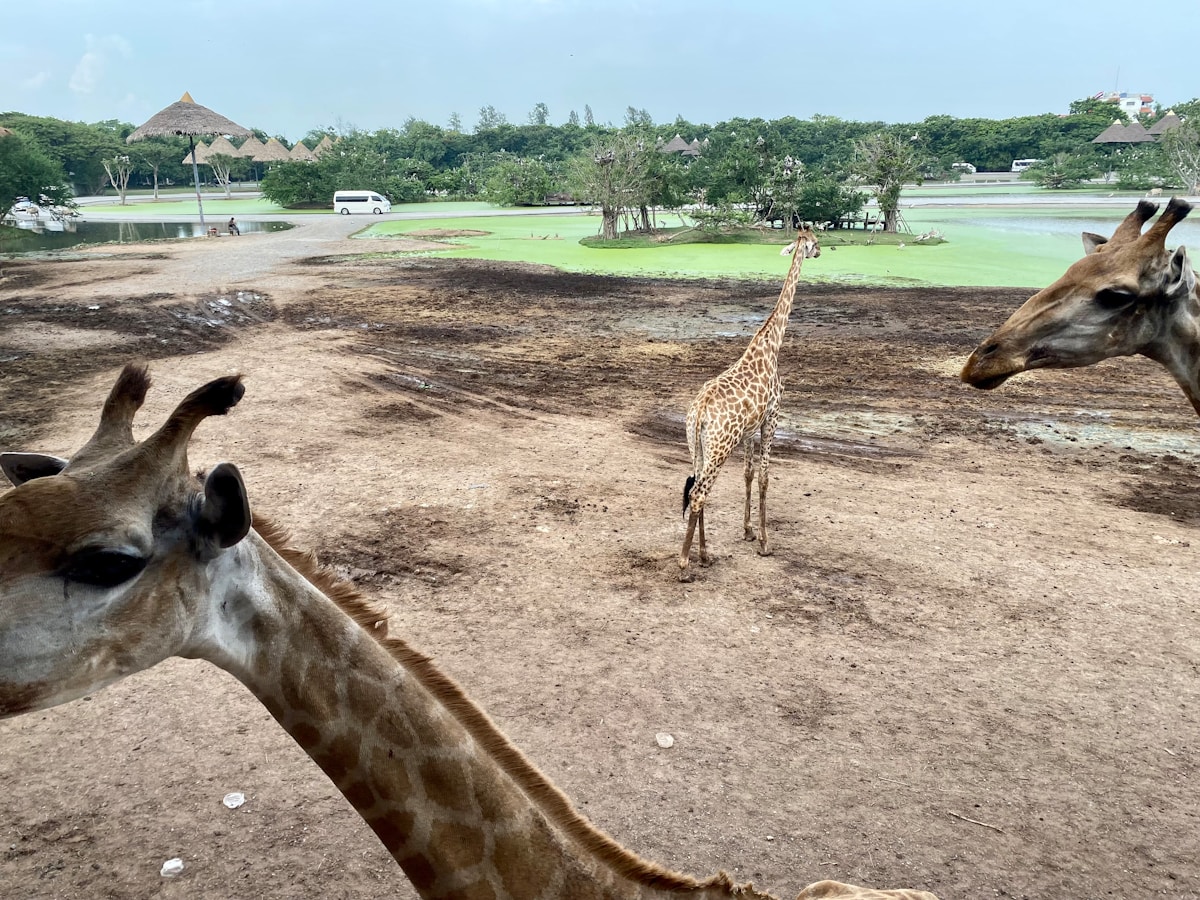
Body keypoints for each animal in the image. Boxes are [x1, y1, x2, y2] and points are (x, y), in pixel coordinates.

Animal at [679, 230, 821, 582]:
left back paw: (705, 555)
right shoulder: (772, 416)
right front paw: (765, 543)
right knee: (699, 493)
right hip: (719, 448)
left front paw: (747, 531)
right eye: (814, 241)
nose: (823, 252)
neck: (772, 344)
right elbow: (765, 477)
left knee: (696, 490)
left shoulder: (749, 430)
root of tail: (698, 413)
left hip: (697, 447)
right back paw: (686, 564)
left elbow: (748, 473)